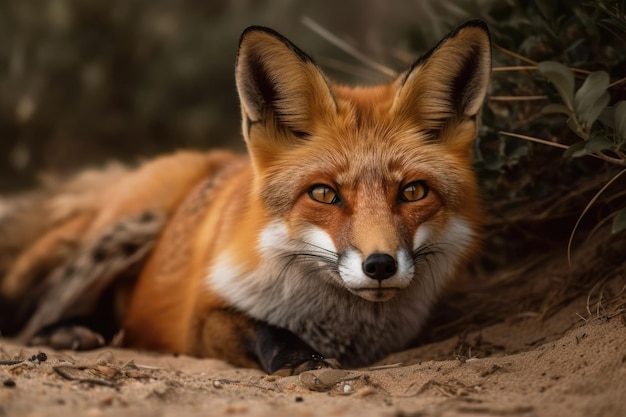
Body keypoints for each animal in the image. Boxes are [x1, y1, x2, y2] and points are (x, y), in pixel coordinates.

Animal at [0, 20, 488, 374]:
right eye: (324, 193)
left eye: (413, 191)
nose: (381, 265)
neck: (342, 326)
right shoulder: (200, 320)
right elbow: (264, 328)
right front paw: (300, 357)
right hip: (123, 230)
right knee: (23, 310)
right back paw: (63, 331)